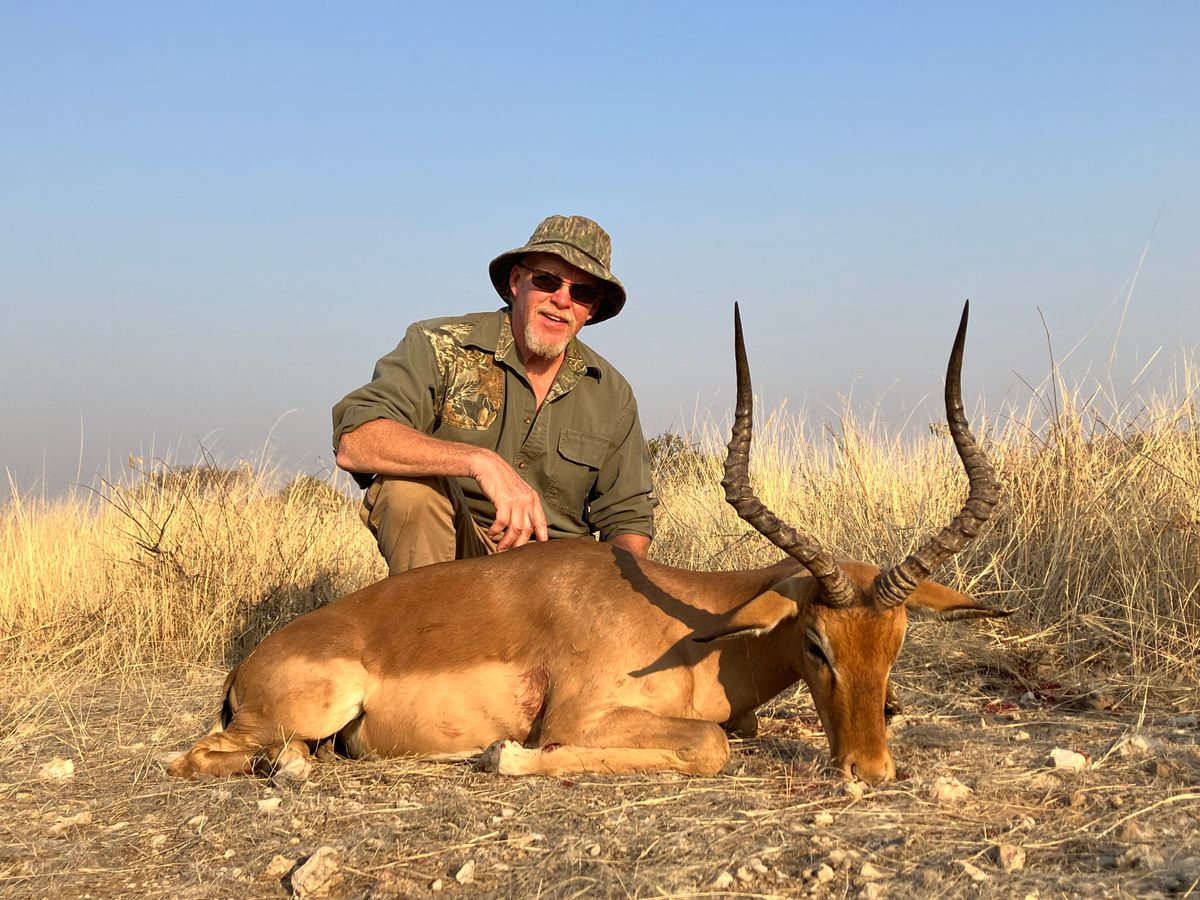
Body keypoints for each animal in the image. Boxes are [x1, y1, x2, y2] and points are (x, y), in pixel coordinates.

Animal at [168, 301, 1006, 784]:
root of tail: (250, 663)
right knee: (195, 759)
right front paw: (503, 752)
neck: (689, 627)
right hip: (312, 707)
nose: (871, 771)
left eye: (896, 645)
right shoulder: (582, 716)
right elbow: (709, 745)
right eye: (815, 643)